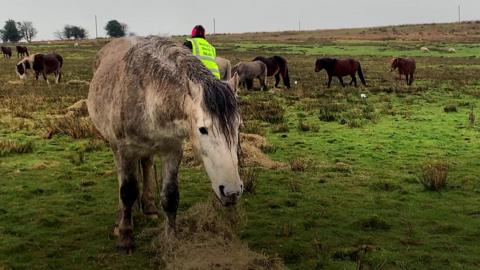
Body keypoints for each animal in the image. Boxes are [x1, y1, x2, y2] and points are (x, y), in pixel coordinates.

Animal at [86, 36, 242, 253]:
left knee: (146, 164)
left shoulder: (172, 151)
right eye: (203, 129)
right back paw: (122, 216)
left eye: (239, 126)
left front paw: (171, 239)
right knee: (122, 176)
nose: (232, 192)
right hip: (115, 146)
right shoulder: (126, 150)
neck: (147, 93)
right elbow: (127, 192)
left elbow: (170, 196)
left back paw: (148, 206)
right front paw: (125, 237)